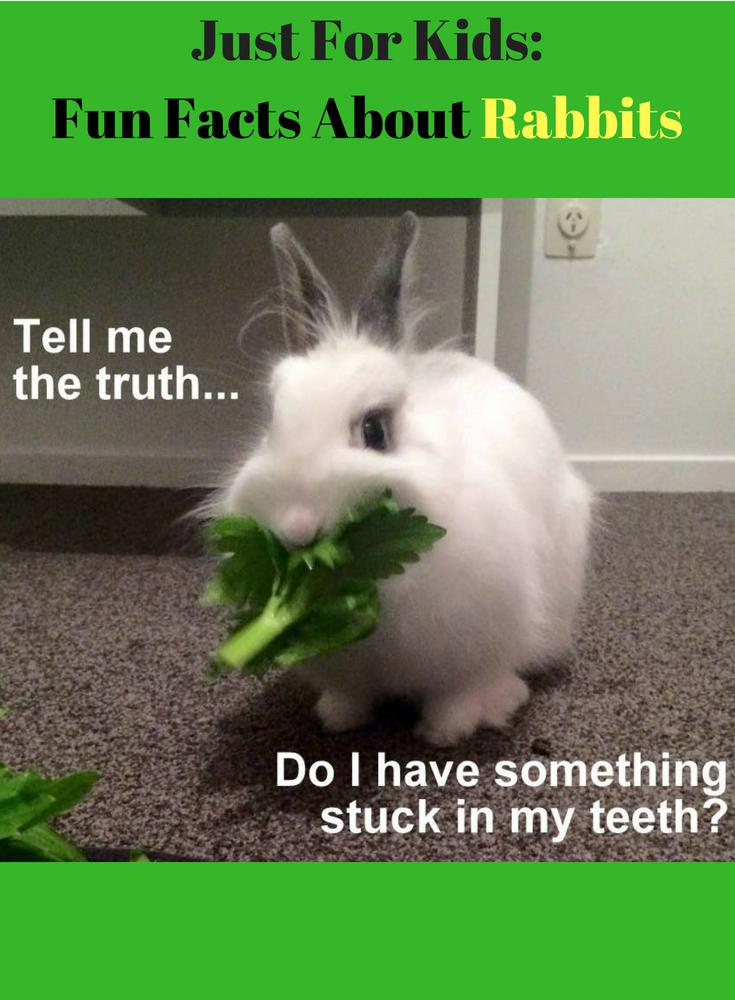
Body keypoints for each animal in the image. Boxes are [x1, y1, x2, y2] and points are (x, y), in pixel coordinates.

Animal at [218, 212, 592, 746]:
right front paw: (338, 718)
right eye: (271, 424)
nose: (298, 529)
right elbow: (351, 696)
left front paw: (449, 729)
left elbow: (464, 690)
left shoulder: (476, 643)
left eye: (375, 430)